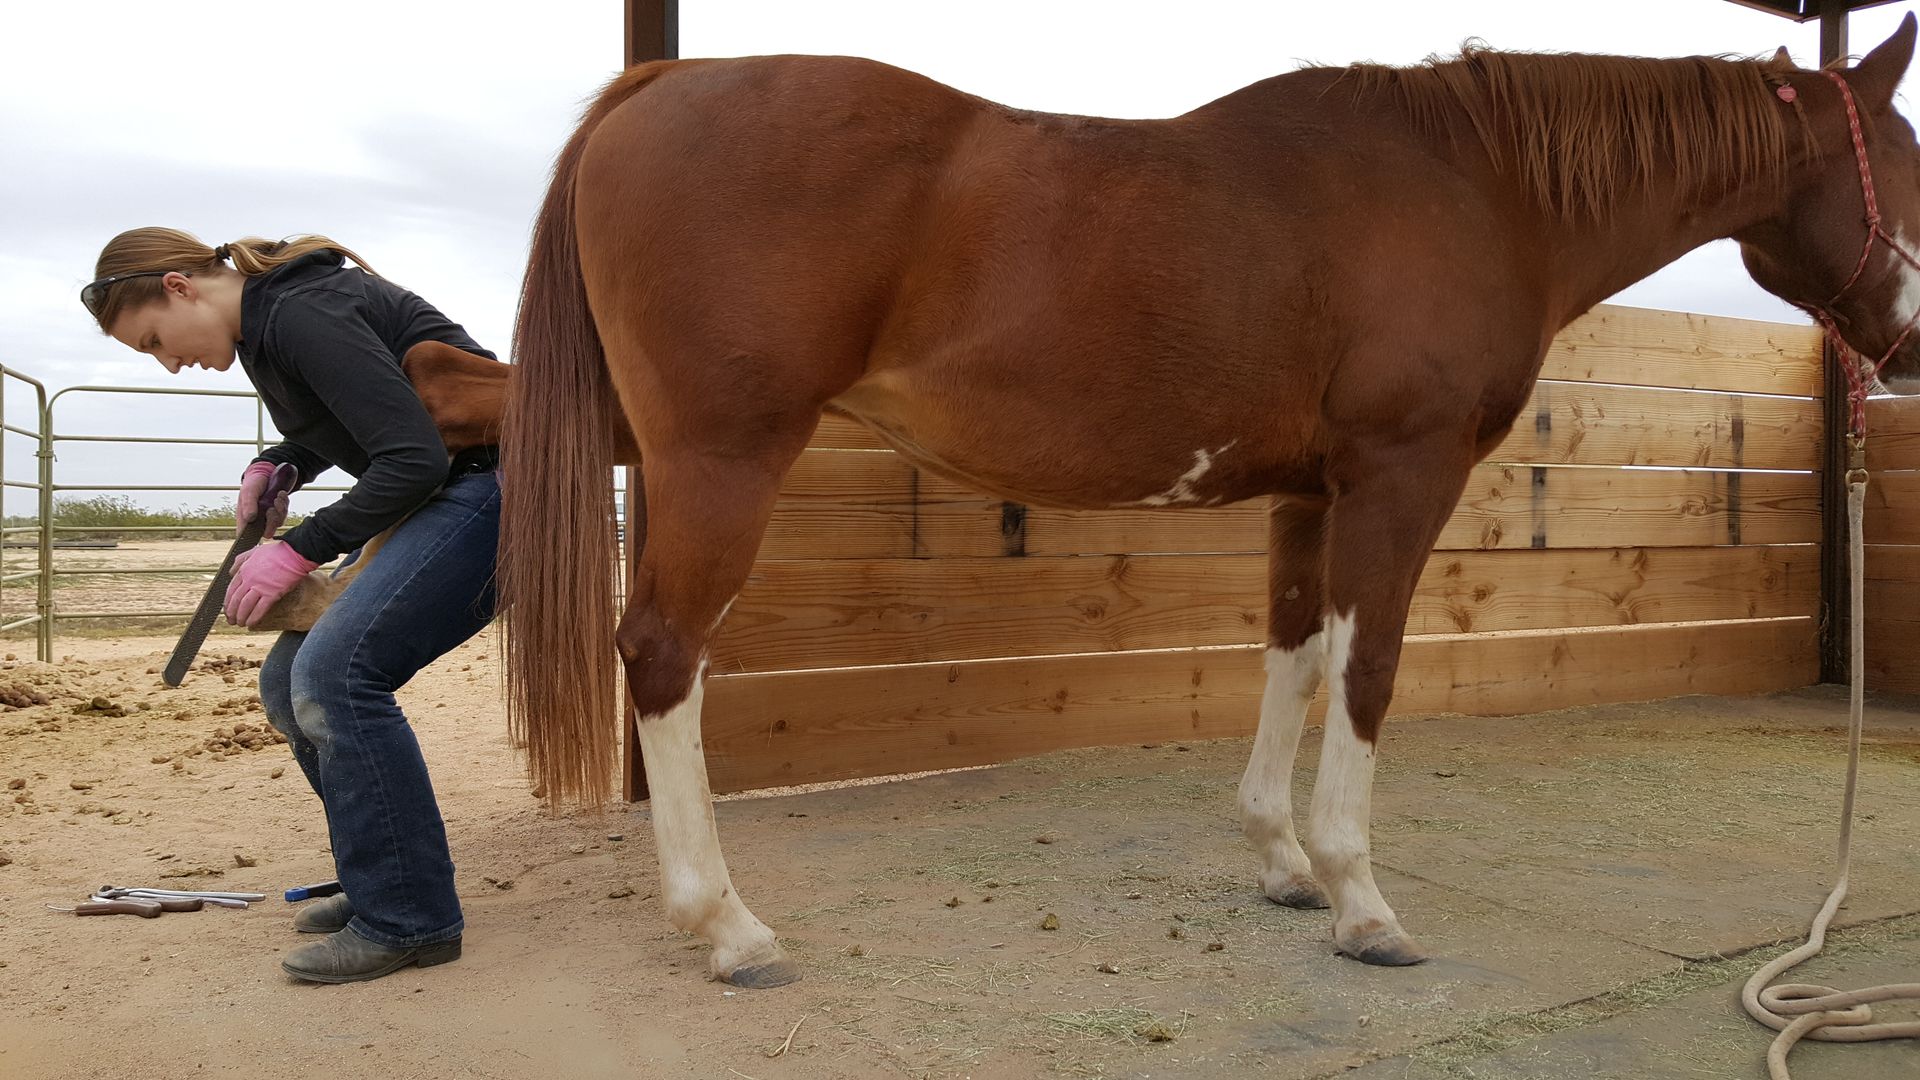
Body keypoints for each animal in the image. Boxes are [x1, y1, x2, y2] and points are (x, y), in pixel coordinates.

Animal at [498, 19, 1920, 988]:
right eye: (1905, 159)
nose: (1906, 342)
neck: (1472, 186)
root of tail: (657, 86)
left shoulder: (1309, 492)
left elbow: (1292, 657)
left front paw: (1283, 861)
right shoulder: (1401, 474)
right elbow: (1368, 670)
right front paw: (1362, 901)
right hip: (719, 463)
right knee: (663, 657)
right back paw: (727, 925)